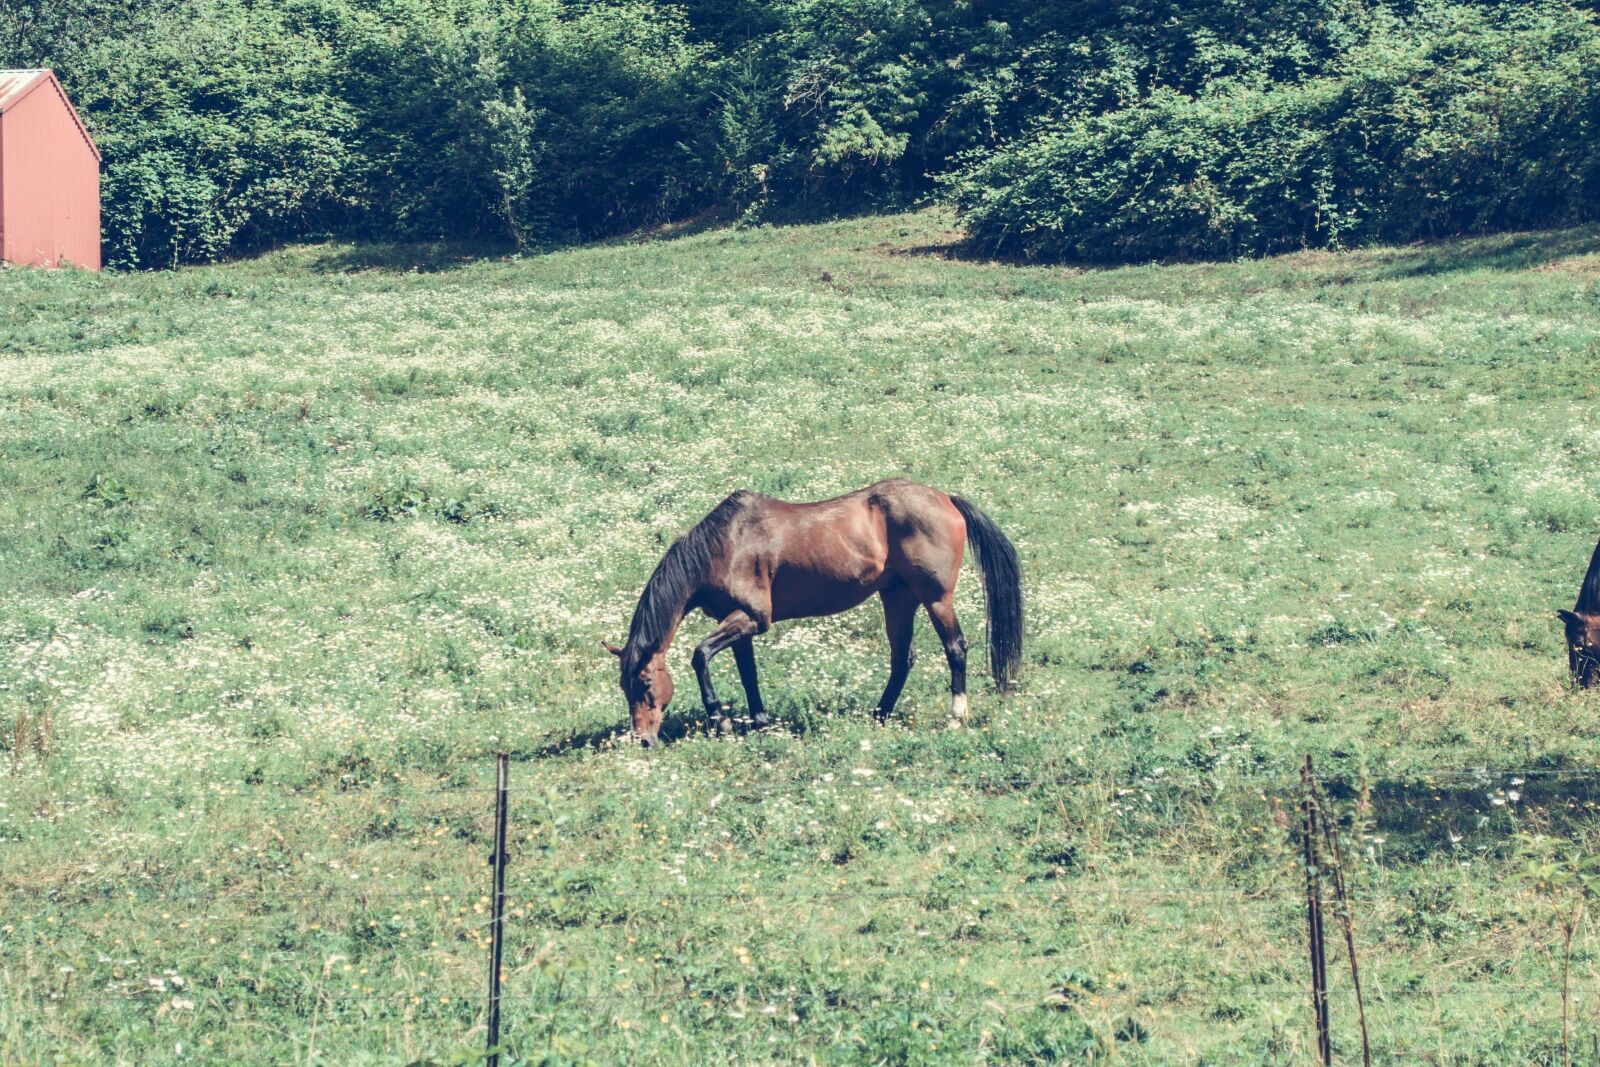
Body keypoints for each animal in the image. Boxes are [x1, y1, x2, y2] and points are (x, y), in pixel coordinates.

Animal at [604, 479, 1023, 745]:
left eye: (644, 683)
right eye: (624, 686)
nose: (643, 740)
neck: (726, 545)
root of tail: (947, 499)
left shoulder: (750, 618)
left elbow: (699, 655)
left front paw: (720, 720)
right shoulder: (740, 623)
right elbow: (748, 675)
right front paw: (758, 722)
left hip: (936, 598)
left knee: (956, 648)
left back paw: (956, 717)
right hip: (898, 598)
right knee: (902, 658)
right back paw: (879, 715)